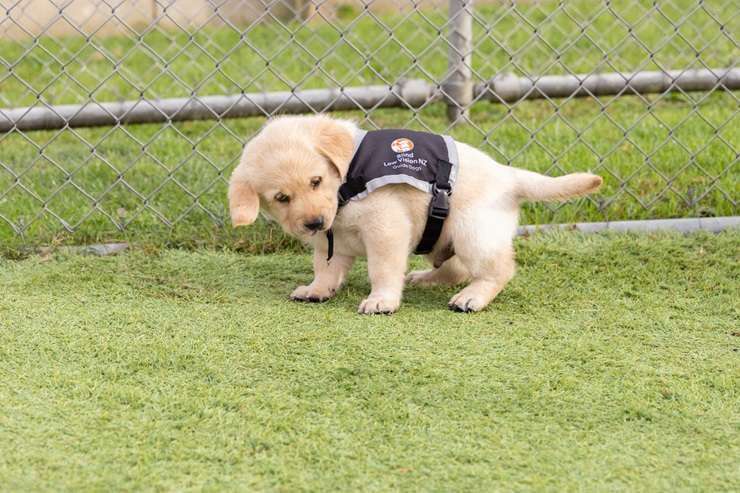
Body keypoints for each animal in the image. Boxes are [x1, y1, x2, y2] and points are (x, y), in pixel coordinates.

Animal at [227, 115, 600, 314]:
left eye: (316, 180)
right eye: (281, 198)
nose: (314, 223)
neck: (346, 184)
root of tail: (509, 177)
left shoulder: (386, 228)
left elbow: (382, 269)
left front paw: (381, 300)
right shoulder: (332, 241)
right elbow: (326, 269)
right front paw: (317, 289)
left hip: (472, 231)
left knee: (499, 269)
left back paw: (473, 297)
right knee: (458, 268)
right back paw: (425, 278)